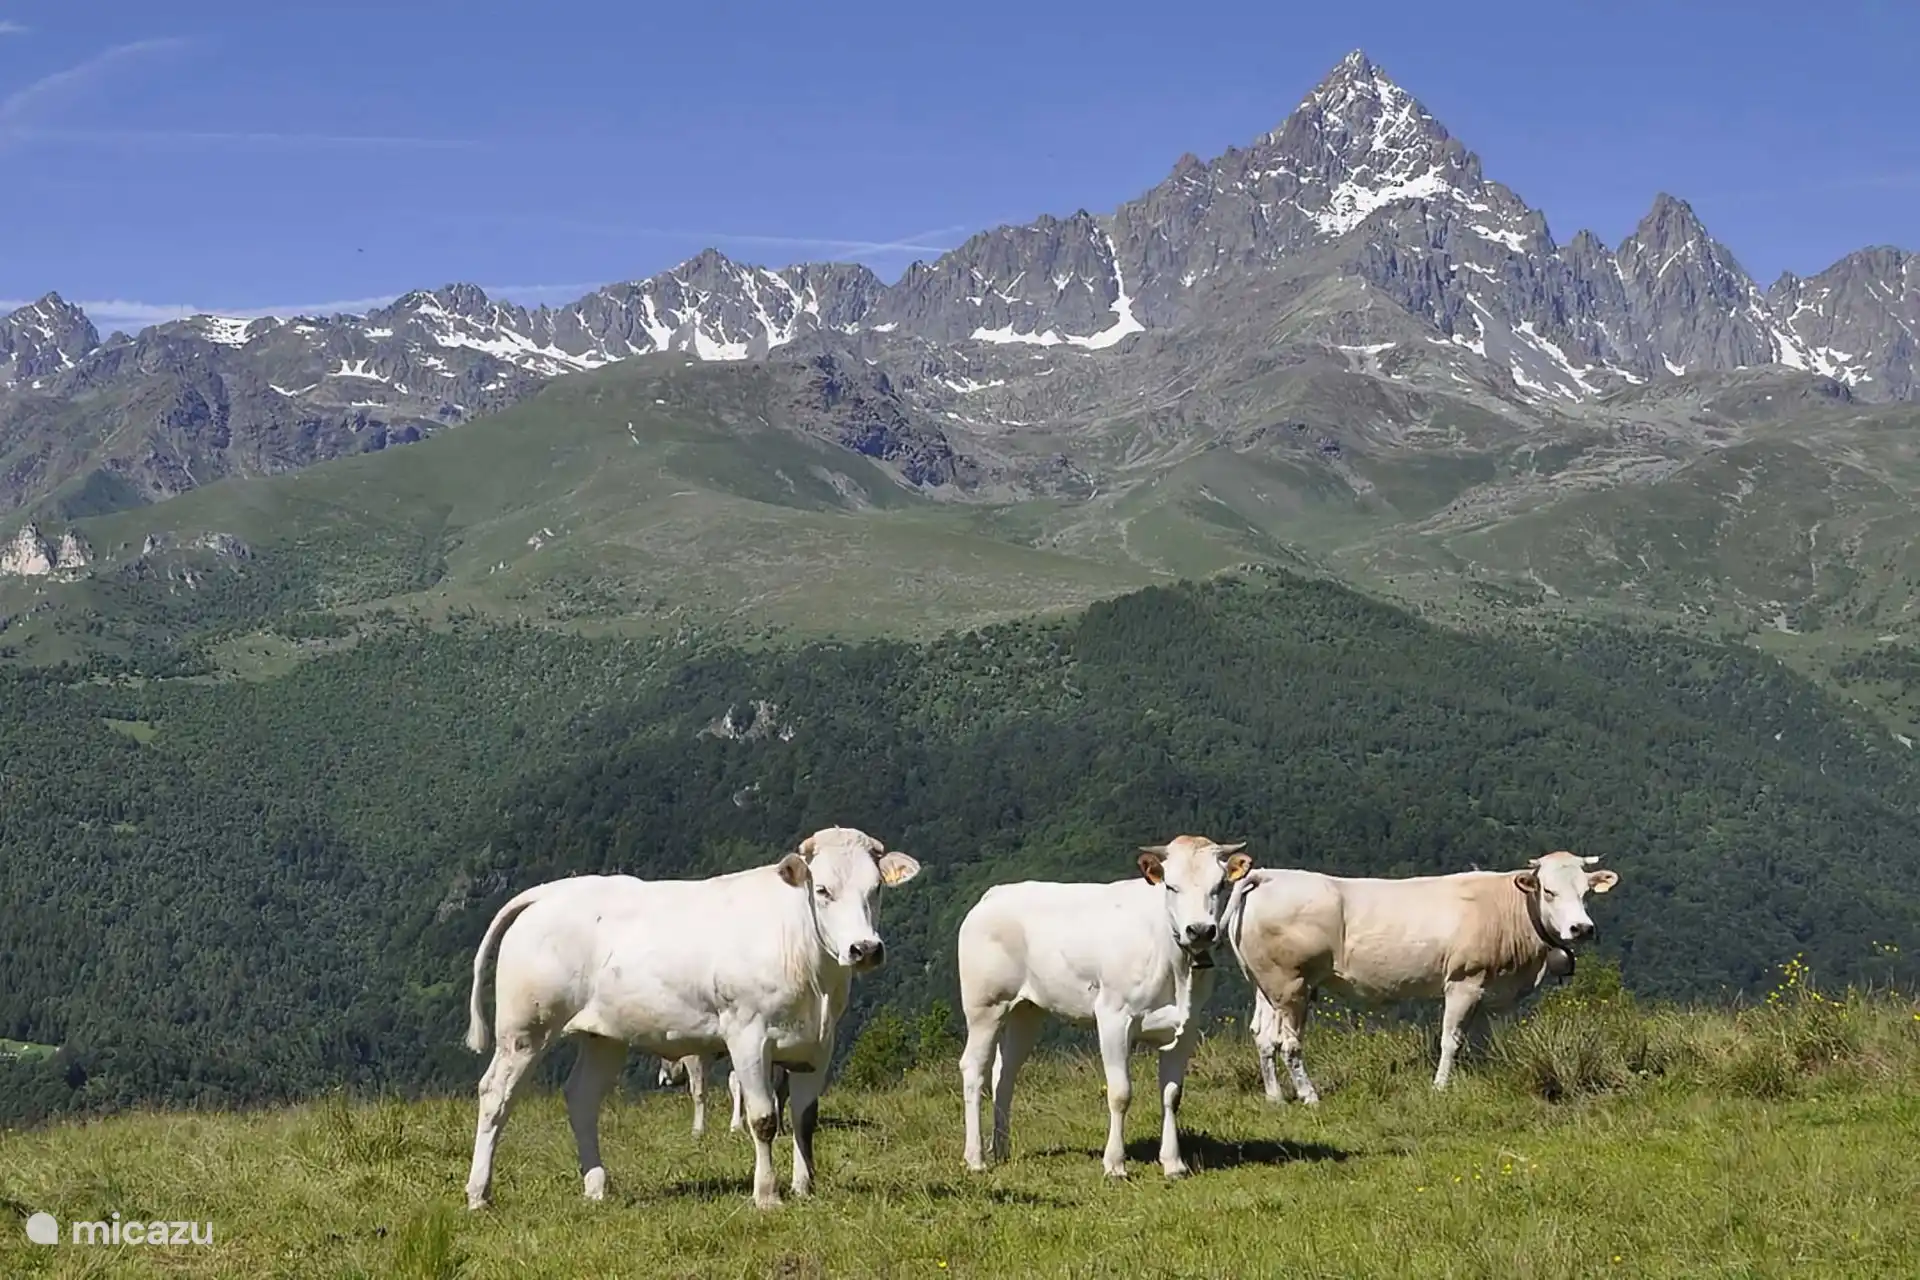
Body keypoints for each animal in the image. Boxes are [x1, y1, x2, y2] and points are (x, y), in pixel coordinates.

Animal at [461, 826, 922, 1210]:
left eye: (876, 888)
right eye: (823, 890)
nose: (864, 949)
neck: (813, 973)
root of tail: (547, 893)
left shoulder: (819, 1045)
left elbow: (804, 1120)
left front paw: (804, 1188)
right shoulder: (747, 1035)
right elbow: (764, 1118)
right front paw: (767, 1195)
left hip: (604, 1035)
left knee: (582, 1098)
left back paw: (596, 1186)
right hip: (525, 1027)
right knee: (495, 1095)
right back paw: (479, 1194)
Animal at [956, 835, 1253, 1179]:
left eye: (1219, 885)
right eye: (1171, 886)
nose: (1201, 930)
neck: (1175, 966)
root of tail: (995, 894)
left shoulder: (1187, 1025)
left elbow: (1172, 1095)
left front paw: (1173, 1163)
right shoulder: (1113, 1017)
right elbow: (1120, 1093)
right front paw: (1115, 1164)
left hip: (1026, 1010)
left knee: (1005, 1074)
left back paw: (1001, 1149)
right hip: (985, 1004)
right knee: (974, 1068)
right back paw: (976, 1158)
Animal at [1227, 850, 1620, 1101]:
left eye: (1585, 892)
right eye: (1549, 891)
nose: (1581, 928)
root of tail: (1269, 874)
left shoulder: (1487, 989)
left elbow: (1480, 1043)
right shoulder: (1464, 981)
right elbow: (1451, 1040)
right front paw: (1440, 1087)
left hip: (1267, 986)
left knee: (1263, 1037)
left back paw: (1275, 1097)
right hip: (1292, 985)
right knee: (1289, 1043)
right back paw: (1309, 1095)